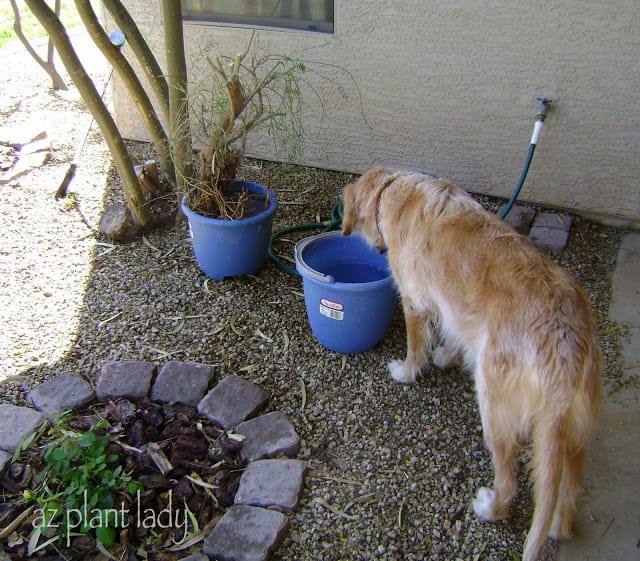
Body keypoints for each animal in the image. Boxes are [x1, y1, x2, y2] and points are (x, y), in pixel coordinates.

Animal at [342, 166, 604, 560]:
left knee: (509, 483)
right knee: (568, 490)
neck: (396, 190)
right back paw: (559, 528)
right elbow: (453, 337)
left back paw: (490, 508)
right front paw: (446, 357)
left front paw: (407, 372)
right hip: (574, 431)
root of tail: (563, 344)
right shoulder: (454, 310)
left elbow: (415, 346)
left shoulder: (415, 302)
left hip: (494, 409)